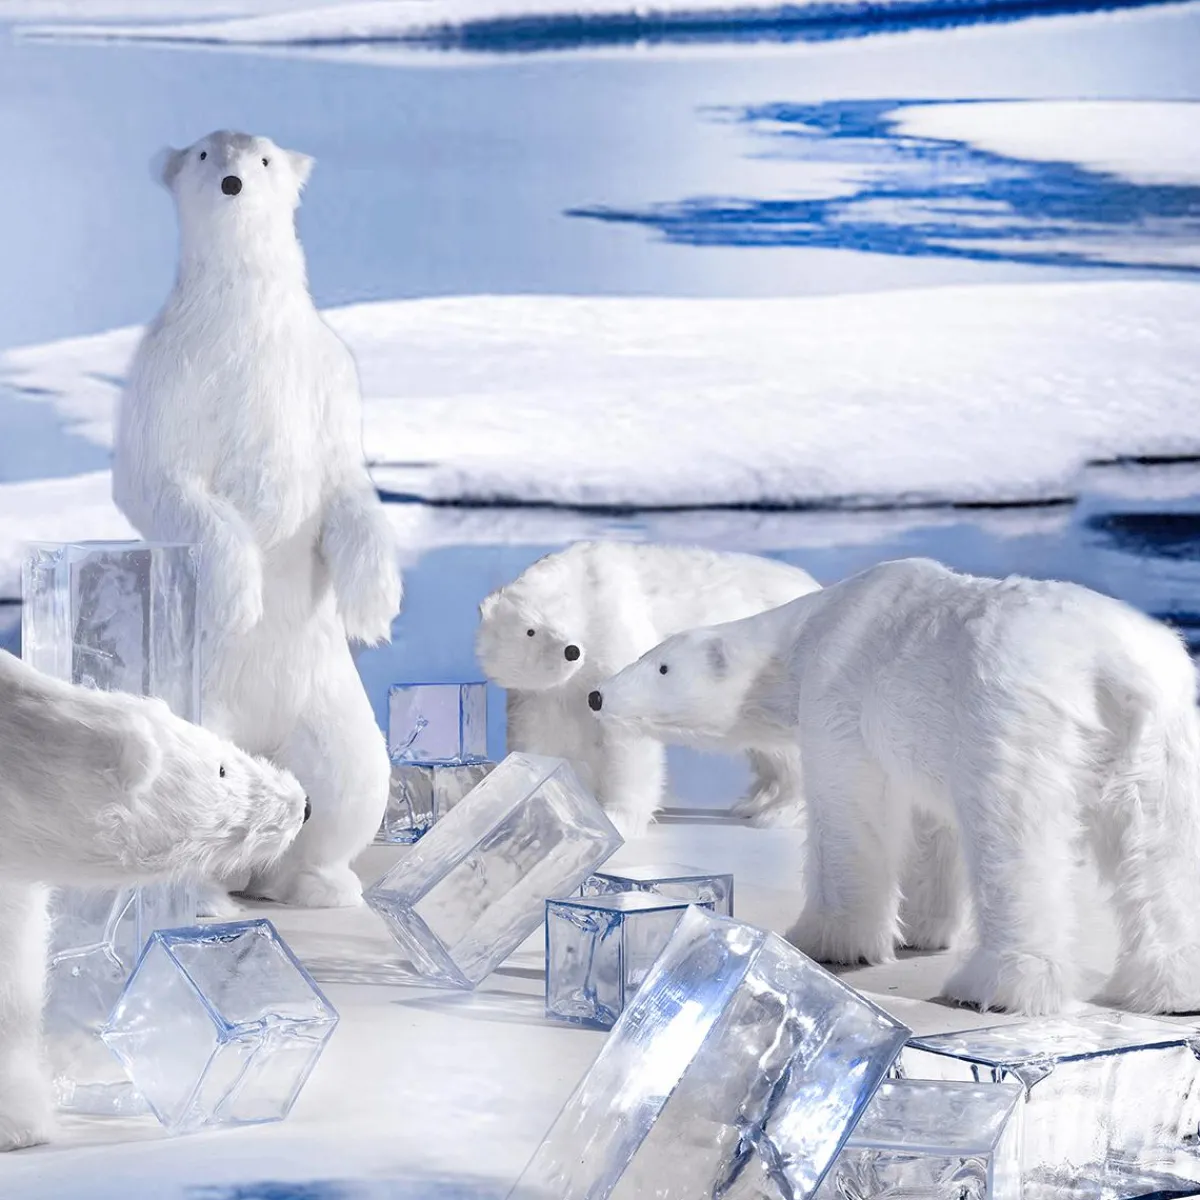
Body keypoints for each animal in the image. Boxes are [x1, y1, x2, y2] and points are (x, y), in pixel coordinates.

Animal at [112, 130, 401, 910]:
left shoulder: (324, 371)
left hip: (329, 708)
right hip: (191, 697)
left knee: (349, 783)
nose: (235, 182)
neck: (241, 320)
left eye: (264, 158)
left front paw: (375, 606)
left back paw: (318, 883)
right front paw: (239, 594)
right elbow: (158, 480)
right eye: (205, 155)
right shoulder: (171, 372)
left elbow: (347, 481)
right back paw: (202, 896)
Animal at [476, 540, 819, 839]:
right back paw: (755, 802)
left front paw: (617, 817)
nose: (570, 650)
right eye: (531, 630)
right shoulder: (540, 694)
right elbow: (539, 737)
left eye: (561, 616)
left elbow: (626, 741)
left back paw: (778, 812)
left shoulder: (613, 635)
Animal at [590, 556, 1200, 1017]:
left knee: (1013, 837)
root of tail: (1113, 671)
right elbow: (931, 825)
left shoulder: (841, 697)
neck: (811, 629)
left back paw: (995, 987)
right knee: (1162, 850)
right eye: (647, 657)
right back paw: (1175, 991)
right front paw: (922, 933)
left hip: (1014, 718)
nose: (597, 695)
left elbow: (849, 808)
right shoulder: (920, 741)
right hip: (1165, 739)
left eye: (661, 666)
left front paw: (827, 941)